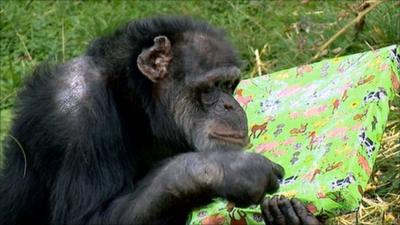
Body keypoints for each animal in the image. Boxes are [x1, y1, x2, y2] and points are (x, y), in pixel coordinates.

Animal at [0, 16, 318, 225]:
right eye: (211, 87)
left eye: (230, 85)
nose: (231, 106)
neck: (131, 101)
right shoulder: (78, 115)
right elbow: (85, 218)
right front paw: (231, 169)